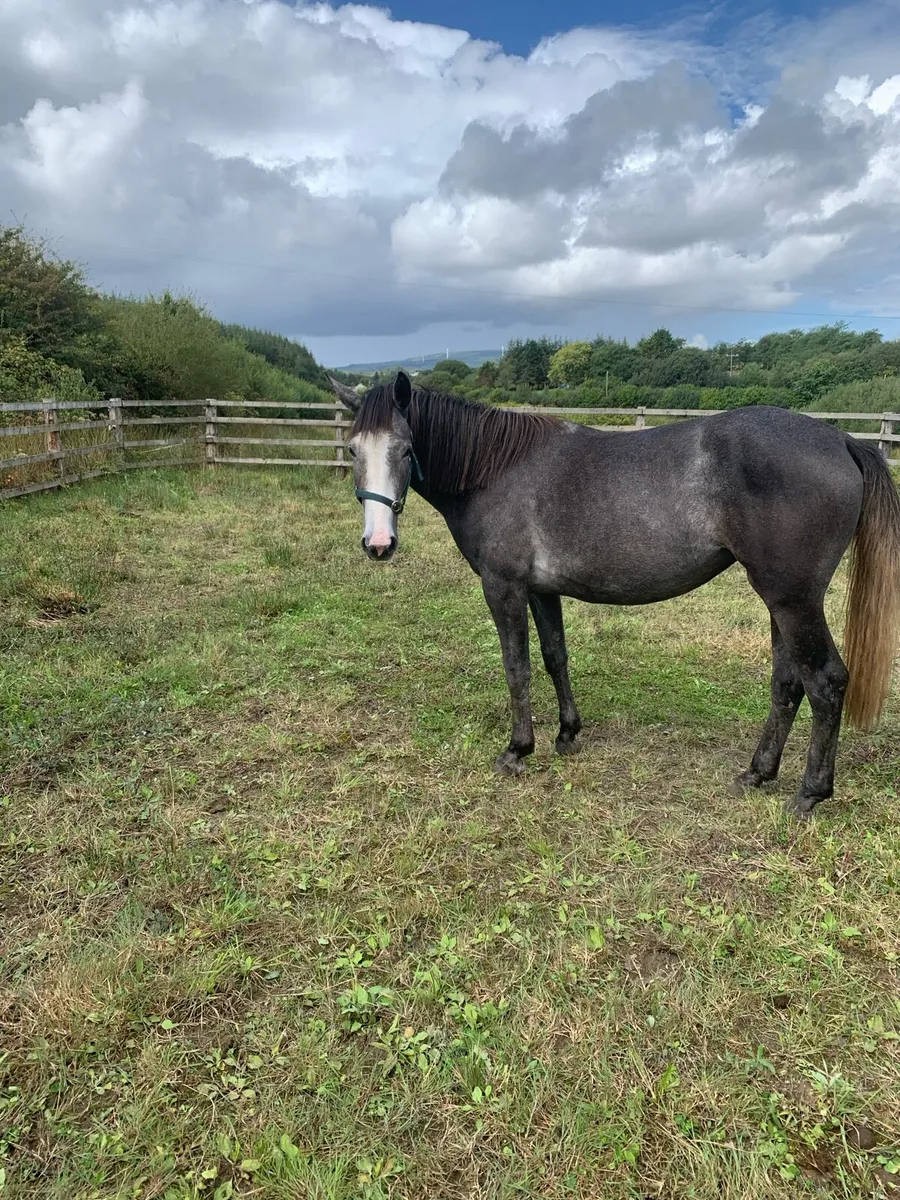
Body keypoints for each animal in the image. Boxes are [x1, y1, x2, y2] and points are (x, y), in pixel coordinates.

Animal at [329, 371, 900, 817]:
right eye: (353, 450)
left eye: (405, 449)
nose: (378, 544)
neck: (496, 469)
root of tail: (841, 441)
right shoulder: (542, 591)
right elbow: (555, 657)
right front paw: (566, 734)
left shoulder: (503, 587)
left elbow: (518, 667)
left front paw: (518, 749)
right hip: (779, 601)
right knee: (788, 684)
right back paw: (757, 773)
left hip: (793, 599)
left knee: (825, 682)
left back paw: (809, 794)